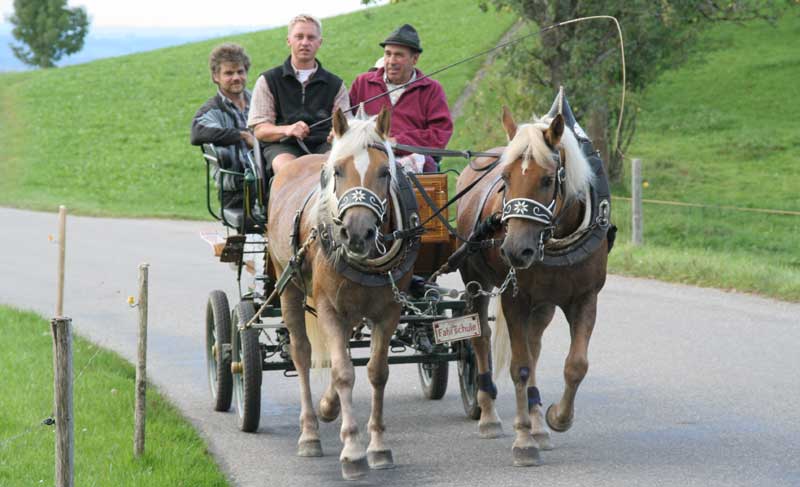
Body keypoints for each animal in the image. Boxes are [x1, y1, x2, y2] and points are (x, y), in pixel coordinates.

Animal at [268, 106, 418, 480]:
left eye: (385, 172)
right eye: (337, 171)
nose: (357, 233)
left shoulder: (388, 312)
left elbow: (377, 372)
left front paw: (377, 446)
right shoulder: (329, 309)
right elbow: (343, 373)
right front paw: (352, 450)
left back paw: (327, 407)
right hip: (288, 286)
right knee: (302, 354)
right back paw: (309, 432)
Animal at [456, 99, 612, 468]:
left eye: (546, 179)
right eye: (504, 178)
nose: (515, 250)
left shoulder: (585, 298)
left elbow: (575, 365)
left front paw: (556, 418)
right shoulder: (516, 299)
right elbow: (521, 366)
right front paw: (523, 441)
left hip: (544, 303)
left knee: (534, 343)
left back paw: (538, 421)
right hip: (473, 280)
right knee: (480, 337)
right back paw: (488, 415)